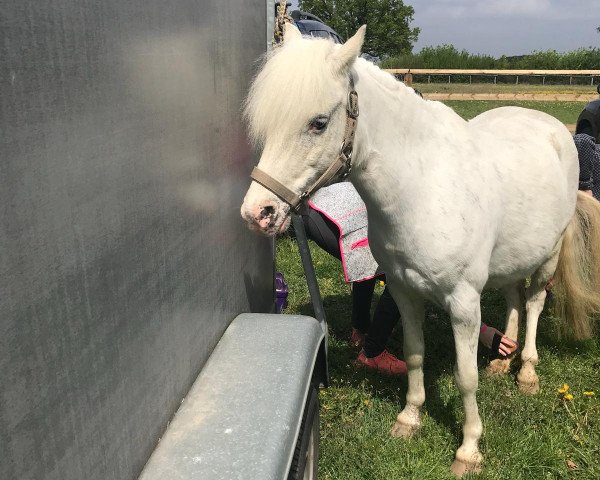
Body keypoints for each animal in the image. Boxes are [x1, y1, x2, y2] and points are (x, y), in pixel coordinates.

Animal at [239, 24, 600, 474]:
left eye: (318, 123)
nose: (258, 213)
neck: (422, 186)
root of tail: (555, 128)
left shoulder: (463, 302)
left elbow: (465, 376)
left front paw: (468, 450)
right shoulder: (403, 289)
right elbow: (413, 354)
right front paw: (409, 419)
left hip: (547, 257)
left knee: (534, 302)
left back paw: (527, 373)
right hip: (510, 260)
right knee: (515, 299)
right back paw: (502, 361)